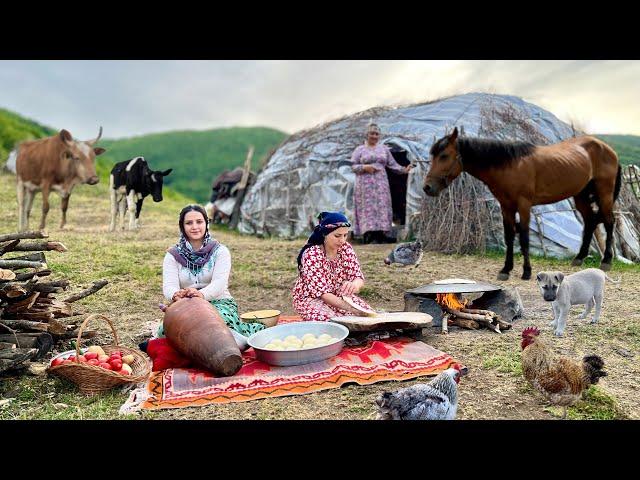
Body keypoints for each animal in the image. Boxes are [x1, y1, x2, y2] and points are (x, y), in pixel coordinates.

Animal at [424, 127, 620, 280]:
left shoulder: (524, 205)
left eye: (444, 156)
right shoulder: (506, 206)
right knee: (590, 221)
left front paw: (527, 271)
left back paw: (606, 261)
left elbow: (524, 236)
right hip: (580, 196)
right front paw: (506, 269)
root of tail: (608, 149)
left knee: (609, 222)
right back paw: (579, 258)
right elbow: (509, 236)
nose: (427, 187)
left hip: (604, 194)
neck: (510, 165)